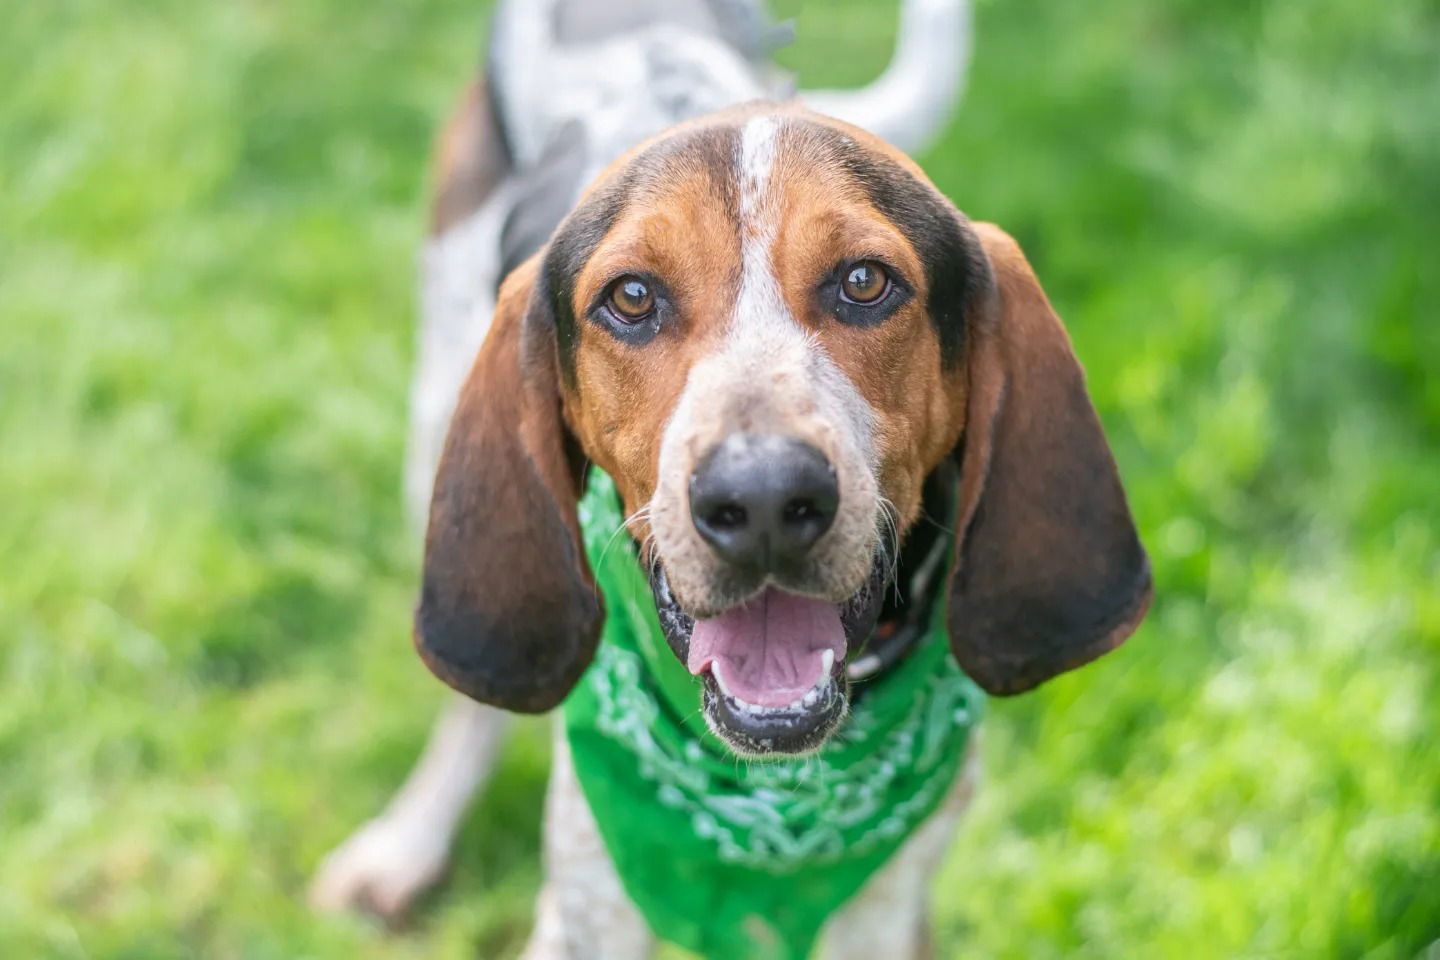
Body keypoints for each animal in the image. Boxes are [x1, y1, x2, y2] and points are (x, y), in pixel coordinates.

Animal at [309, 3, 1152, 955]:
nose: (763, 500)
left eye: (866, 281)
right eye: (632, 298)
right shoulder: (589, 905)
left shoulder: (889, 911)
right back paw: (409, 840)